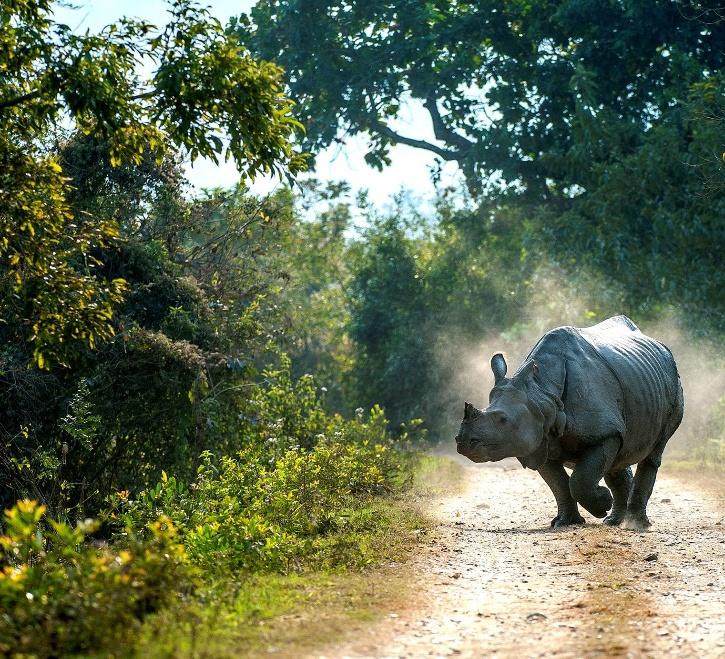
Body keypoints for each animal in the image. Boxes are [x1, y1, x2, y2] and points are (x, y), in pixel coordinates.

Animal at [455, 316, 684, 531]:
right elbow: (559, 484)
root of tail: (662, 347)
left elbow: (579, 481)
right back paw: (614, 521)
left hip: (672, 381)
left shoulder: (603, 432)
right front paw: (565, 522)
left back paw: (636, 524)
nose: (463, 442)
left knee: (654, 451)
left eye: (503, 420)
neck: (542, 393)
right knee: (618, 454)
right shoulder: (541, 438)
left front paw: (602, 501)